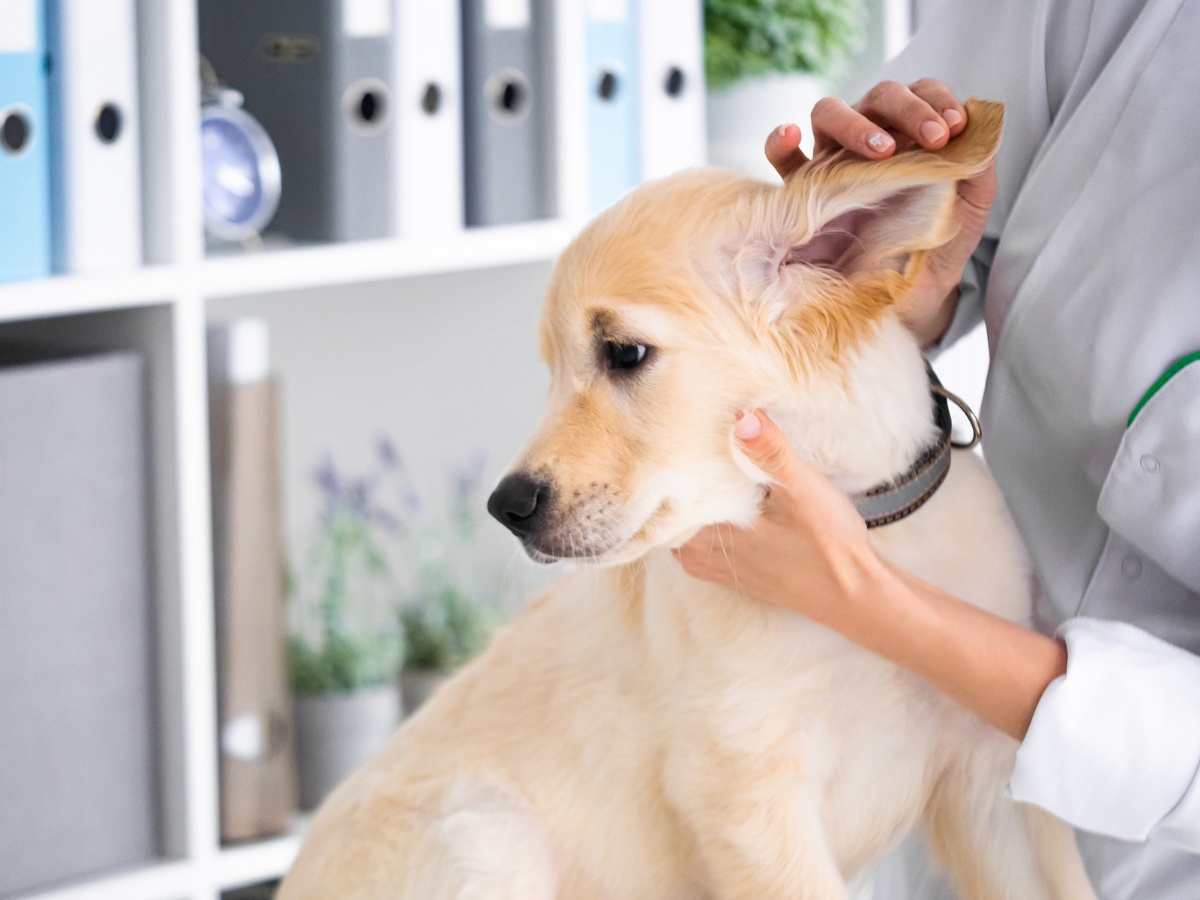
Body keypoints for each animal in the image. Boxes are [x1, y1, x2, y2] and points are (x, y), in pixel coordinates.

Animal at [278, 100, 1099, 900]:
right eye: (551, 370)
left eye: (624, 352)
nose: (505, 507)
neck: (878, 538)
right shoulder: (745, 794)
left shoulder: (993, 775)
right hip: (487, 834)